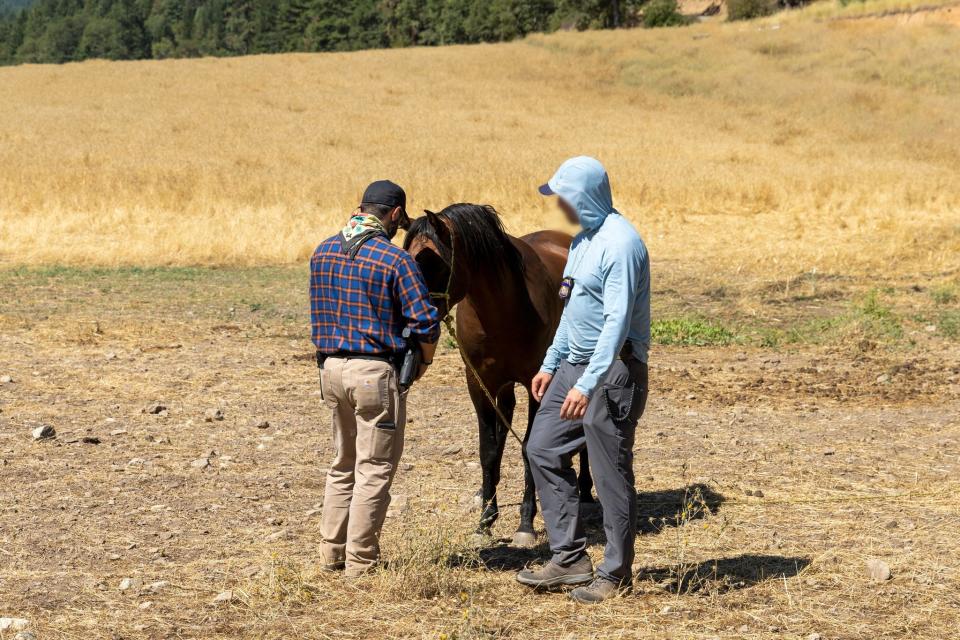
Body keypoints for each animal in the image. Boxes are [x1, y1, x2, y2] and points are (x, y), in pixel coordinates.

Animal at [400, 205, 592, 544]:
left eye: (432, 261)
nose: (412, 321)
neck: (504, 310)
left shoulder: (536, 384)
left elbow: (528, 445)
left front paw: (526, 524)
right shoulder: (479, 383)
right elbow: (488, 449)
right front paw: (485, 520)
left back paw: (585, 490)